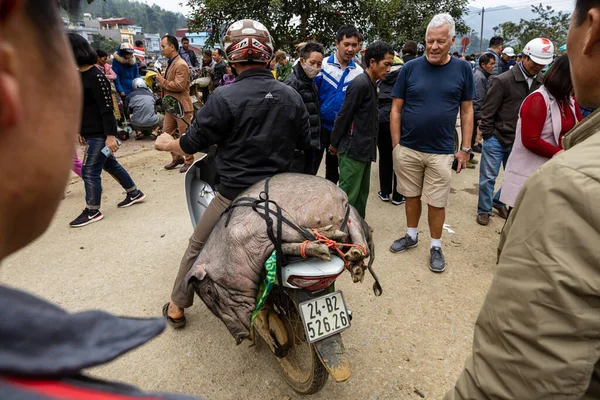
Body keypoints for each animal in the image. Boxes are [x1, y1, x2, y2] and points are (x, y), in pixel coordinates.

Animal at [185, 173, 378, 344]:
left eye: (209, 292)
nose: (239, 337)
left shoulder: (279, 222)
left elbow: (300, 232)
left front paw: (330, 236)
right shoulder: (274, 244)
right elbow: (292, 244)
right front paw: (325, 243)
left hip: (350, 212)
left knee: (363, 244)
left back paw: (354, 253)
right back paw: (354, 266)